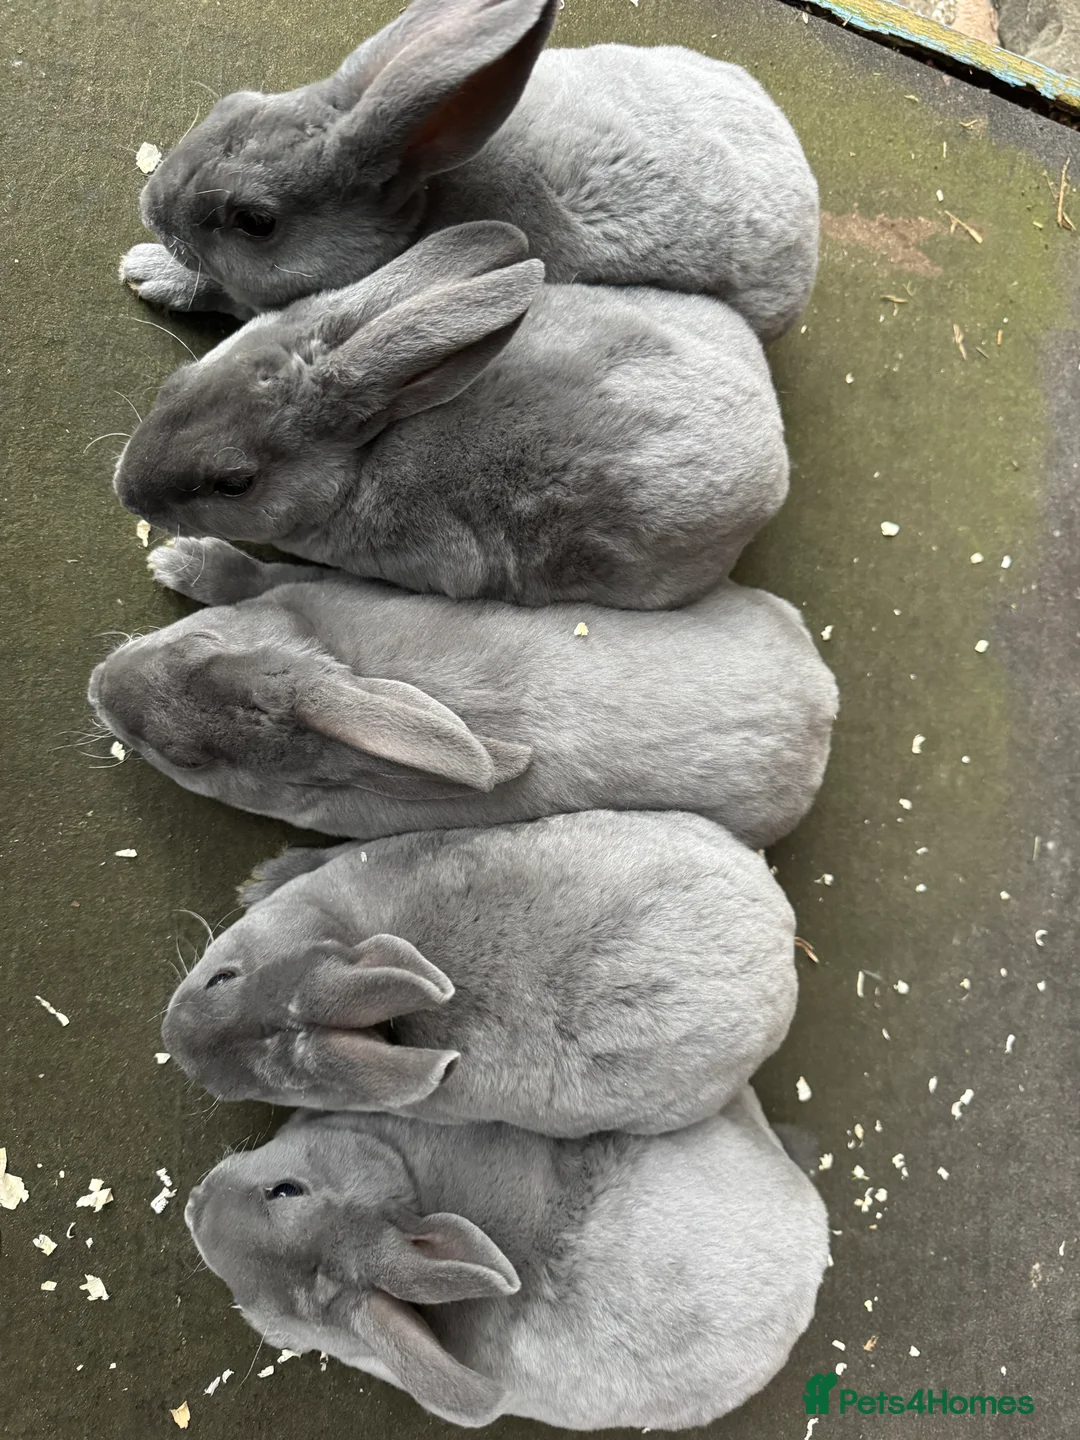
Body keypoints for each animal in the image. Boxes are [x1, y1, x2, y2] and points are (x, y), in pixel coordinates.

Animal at [87, 540, 838, 848]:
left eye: (185, 759)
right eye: (195, 648)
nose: (99, 686)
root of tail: (824, 710)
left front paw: (174, 559)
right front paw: (185, 559)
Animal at [112, 223, 790, 610]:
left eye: (235, 483)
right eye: (175, 386)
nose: (124, 490)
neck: (363, 460)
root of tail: (777, 453)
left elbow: (272, 582)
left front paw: (183, 566)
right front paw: (153, 269)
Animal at [119, 0, 819, 341]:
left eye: (256, 222)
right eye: (231, 104)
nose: (151, 209)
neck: (423, 198)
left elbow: (221, 291)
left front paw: (146, 272)